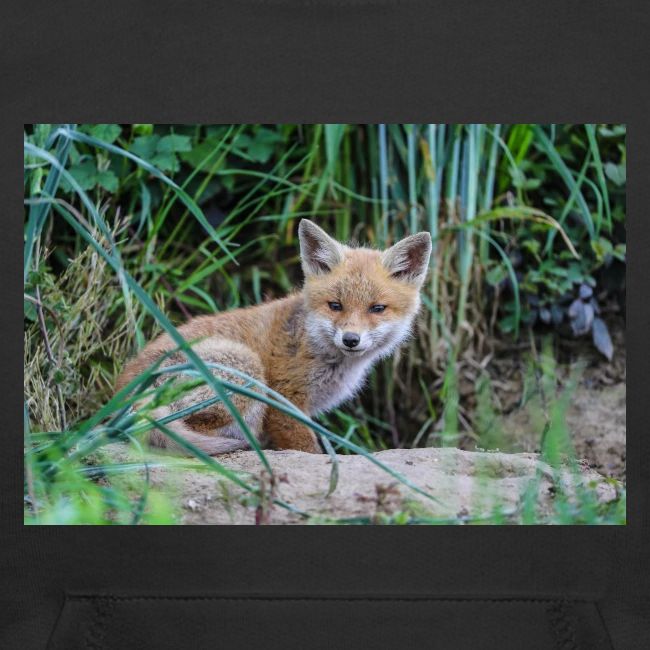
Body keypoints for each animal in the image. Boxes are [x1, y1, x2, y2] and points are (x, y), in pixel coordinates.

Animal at [116, 219, 432, 455]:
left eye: (377, 308)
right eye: (335, 305)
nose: (351, 339)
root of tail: (124, 394)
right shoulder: (284, 400)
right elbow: (307, 449)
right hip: (246, 369)